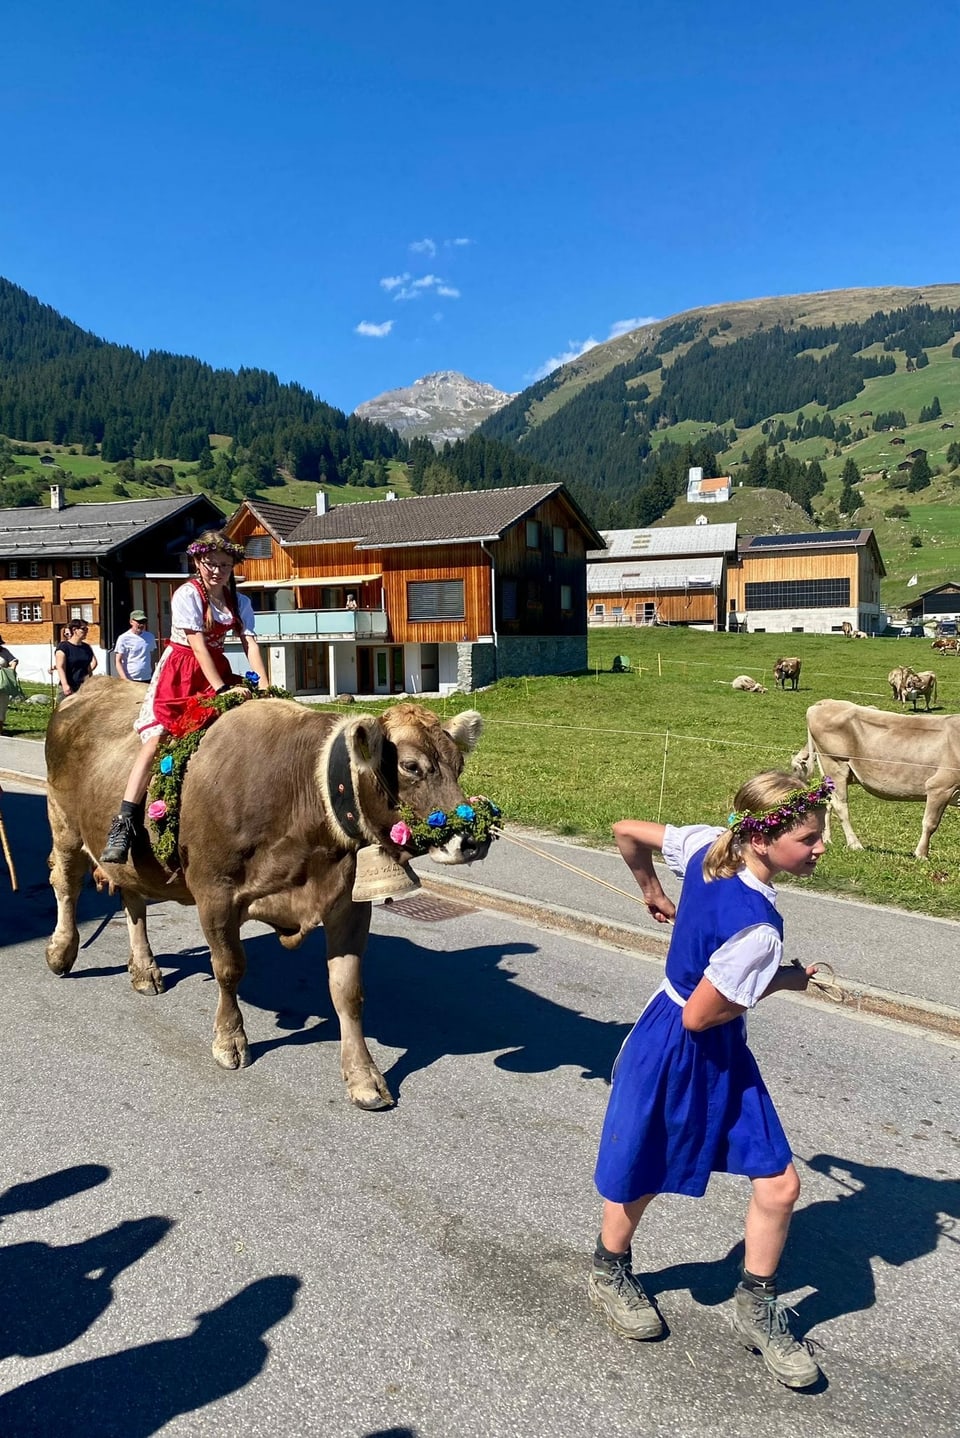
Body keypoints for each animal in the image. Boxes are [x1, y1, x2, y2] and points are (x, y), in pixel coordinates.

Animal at [44, 678, 488, 1104]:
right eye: (411, 766)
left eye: (459, 764)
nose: (471, 840)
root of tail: (87, 689)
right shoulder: (215, 893)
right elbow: (228, 968)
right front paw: (230, 1041)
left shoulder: (347, 904)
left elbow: (348, 991)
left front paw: (363, 1078)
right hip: (64, 823)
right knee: (65, 885)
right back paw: (61, 951)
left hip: (128, 857)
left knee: (132, 896)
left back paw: (144, 970)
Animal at [793, 695, 960, 851]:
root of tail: (826, 702)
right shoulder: (940, 786)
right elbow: (930, 823)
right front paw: (921, 854)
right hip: (835, 763)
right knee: (840, 805)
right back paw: (855, 844)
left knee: (827, 802)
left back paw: (827, 839)